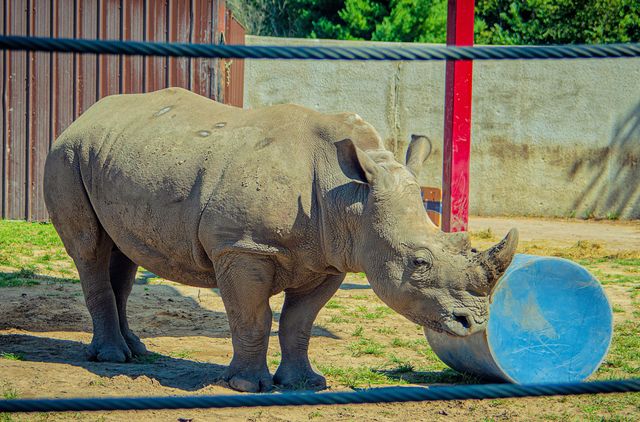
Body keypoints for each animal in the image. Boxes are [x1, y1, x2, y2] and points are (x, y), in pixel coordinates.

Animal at [44, 87, 518, 392]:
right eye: (419, 263)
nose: (474, 323)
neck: (352, 199)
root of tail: (83, 116)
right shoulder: (241, 247)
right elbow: (253, 317)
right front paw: (245, 386)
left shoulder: (332, 257)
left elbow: (299, 322)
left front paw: (305, 384)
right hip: (66, 154)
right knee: (89, 249)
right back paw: (112, 358)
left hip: (114, 154)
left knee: (122, 254)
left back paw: (135, 350)